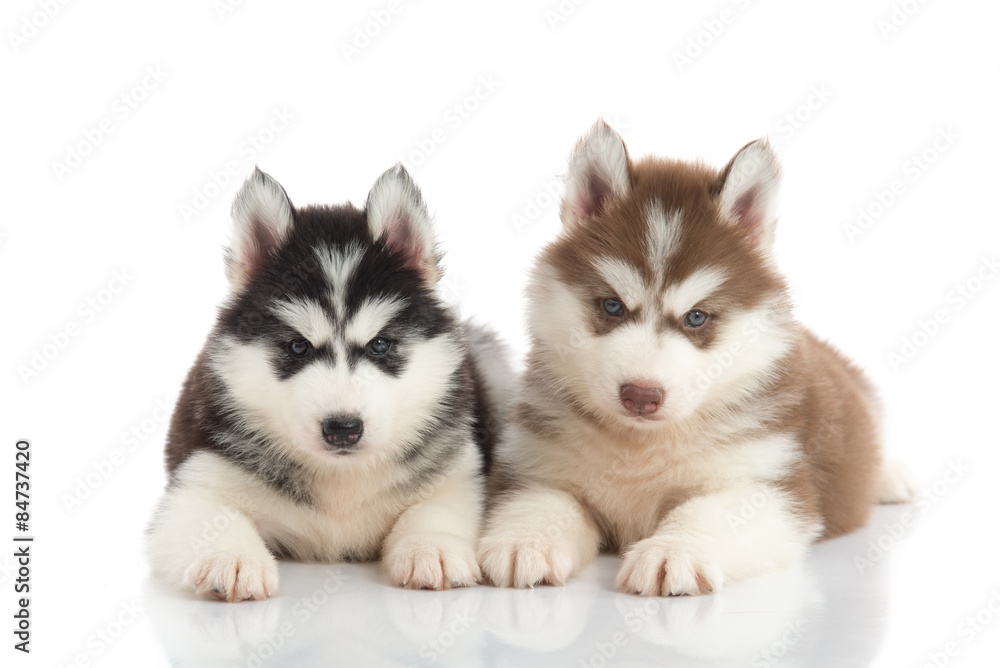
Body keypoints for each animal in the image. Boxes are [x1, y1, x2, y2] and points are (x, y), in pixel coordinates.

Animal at [146, 166, 508, 600]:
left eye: (380, 344)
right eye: (297, 346)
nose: (343, 429)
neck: (341, 479)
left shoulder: (457, 473)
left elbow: (435, 508)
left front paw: (430, 547)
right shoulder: (196, 479)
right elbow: (211, 516)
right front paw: (231, 558)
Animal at [478, 122, 916, 596]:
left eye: (696, 317)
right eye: (612, 306)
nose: (641, 395)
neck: (640, 448)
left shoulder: (770, 487)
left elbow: (707, 512)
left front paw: (673, 550)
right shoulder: (538, 465)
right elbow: (542, 501)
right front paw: (525, 541)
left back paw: (890, 477)